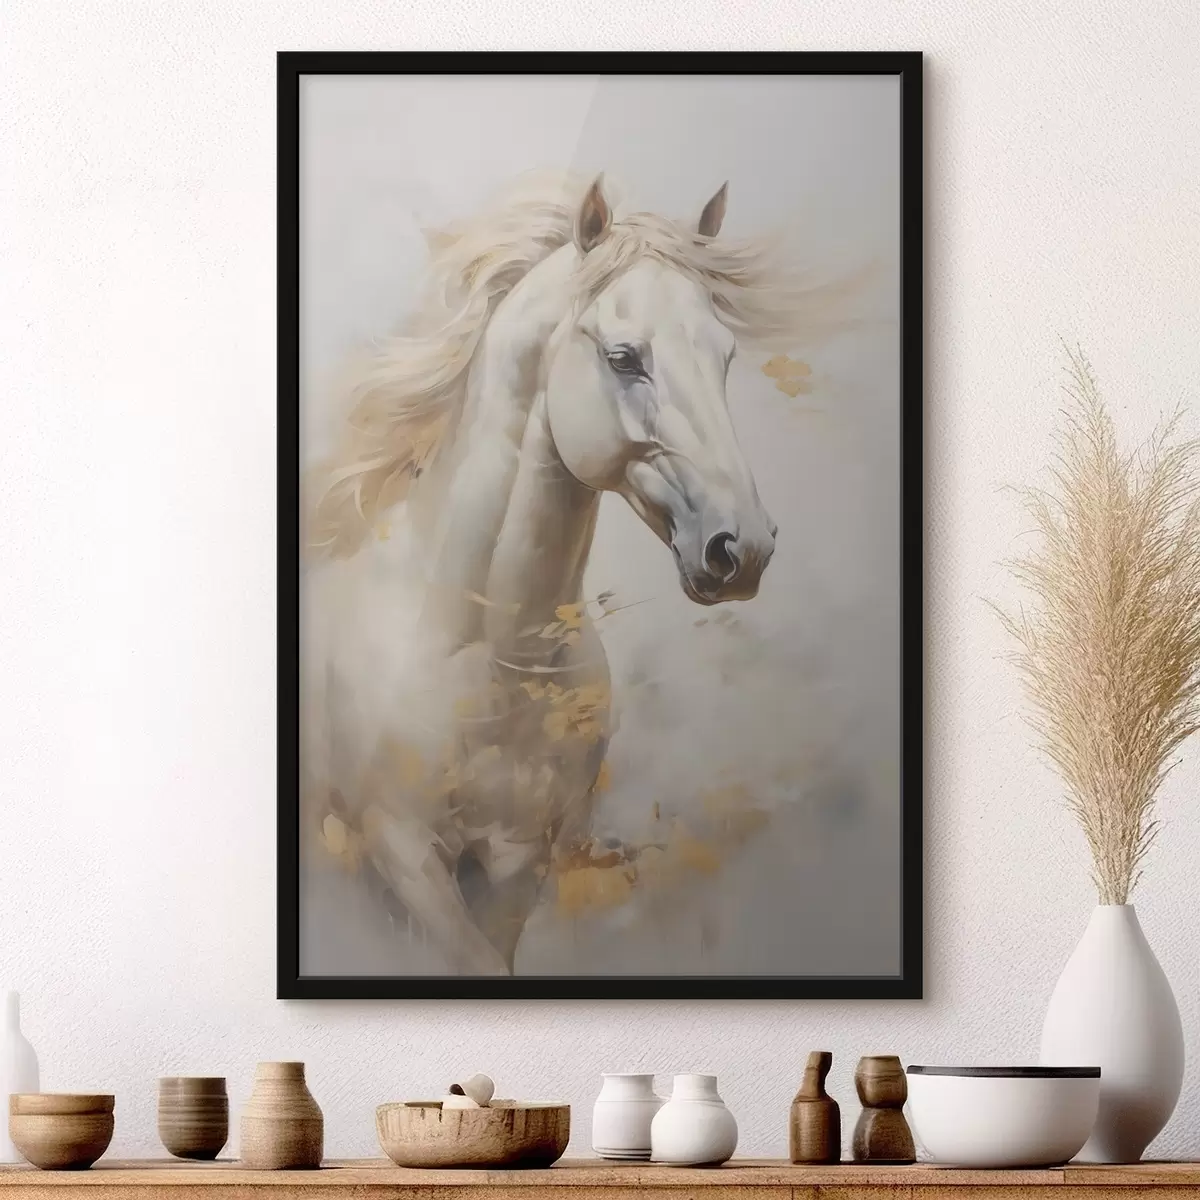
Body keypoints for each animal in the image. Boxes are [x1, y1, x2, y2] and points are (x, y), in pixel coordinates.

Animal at [302, 171, 824, 975]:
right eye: (624, 357)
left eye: (726, 356)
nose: (743, 548)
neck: (487, 660)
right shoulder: (404, 857)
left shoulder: (518, 860)